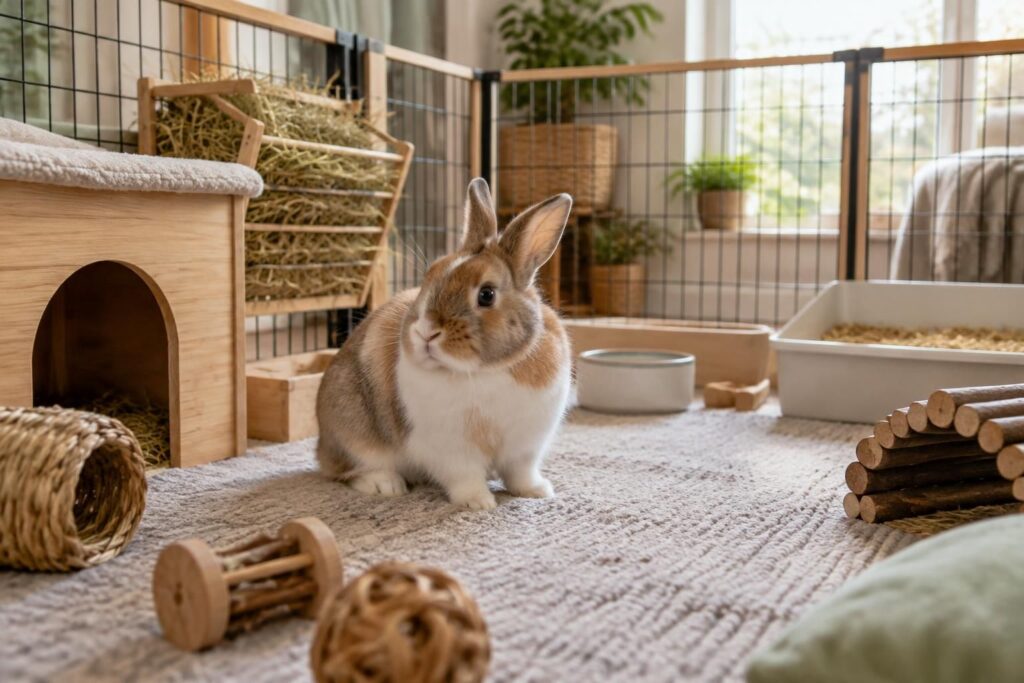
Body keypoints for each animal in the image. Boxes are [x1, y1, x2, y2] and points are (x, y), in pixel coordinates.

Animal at [315, 178, 573, 510]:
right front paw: (478, 503)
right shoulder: (452, 450)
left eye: (486, 294)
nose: (425, 332)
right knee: (347, 469)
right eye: (430, 276)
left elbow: (520, 473)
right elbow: (465, 477)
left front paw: (537, 491)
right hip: (353, 430)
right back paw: (386, 486)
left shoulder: (525, 447)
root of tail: (322, 443)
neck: (485, 371)